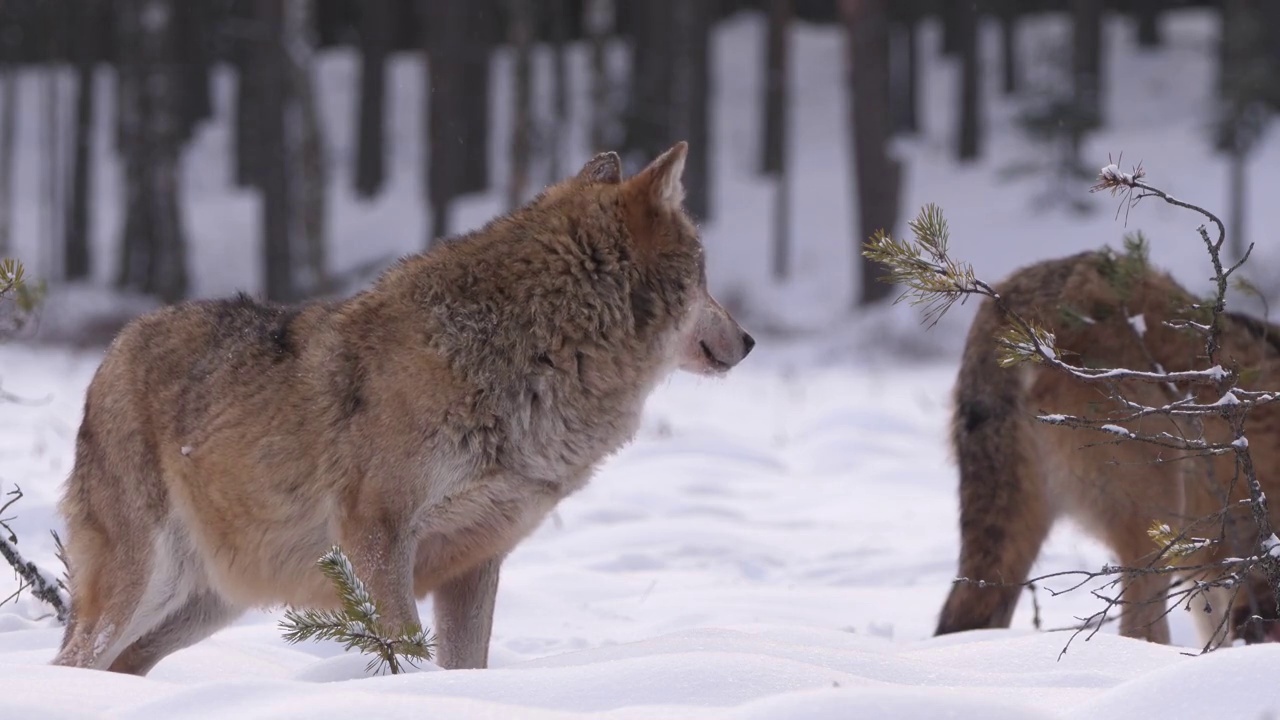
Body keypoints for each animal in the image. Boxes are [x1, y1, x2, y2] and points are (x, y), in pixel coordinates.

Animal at [49, 141, 752, 671]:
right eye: (704, 274)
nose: (748, 341)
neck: (534, 353)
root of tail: (111, 351)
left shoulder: (477, 558)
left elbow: (465, 664)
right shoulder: (377, 536)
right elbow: (405, 650)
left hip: (209, 602)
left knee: (123, 664)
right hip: (145, 583)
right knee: (75, 659)